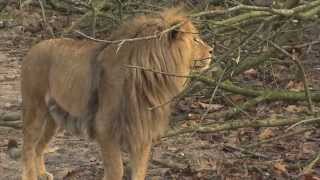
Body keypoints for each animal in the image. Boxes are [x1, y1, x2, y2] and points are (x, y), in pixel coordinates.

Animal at [16, 8, 214, 180]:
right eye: (195, 40)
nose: (212, 50)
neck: (151, 77)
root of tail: (34, 47)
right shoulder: (105, 128)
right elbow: (116, 170)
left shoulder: (142, 131)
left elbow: (139, 172)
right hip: (35, 109)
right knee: (27, 147)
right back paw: (31, 175)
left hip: (54, 118)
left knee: (38, 146)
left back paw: (42, 173)